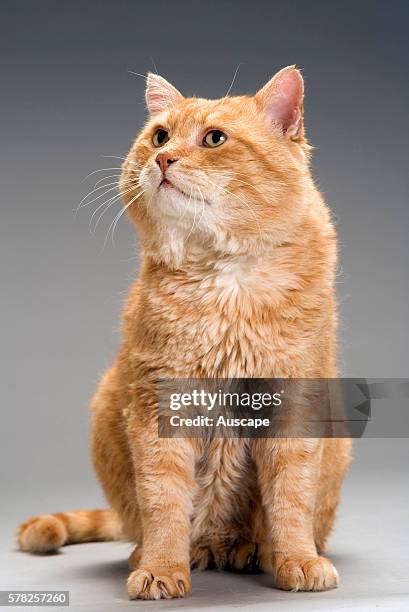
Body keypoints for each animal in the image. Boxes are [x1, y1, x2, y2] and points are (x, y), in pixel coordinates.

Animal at [17, 65, 350, 596]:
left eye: (213, 139)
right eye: (160, 136)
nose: (163, 157)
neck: (224, 279)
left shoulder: (293, 400)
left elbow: (292, 497)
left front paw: (297, 559)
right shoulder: (160, 404)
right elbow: (164, 501)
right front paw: (161, 568)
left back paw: (251, 550)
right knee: (145, 523)